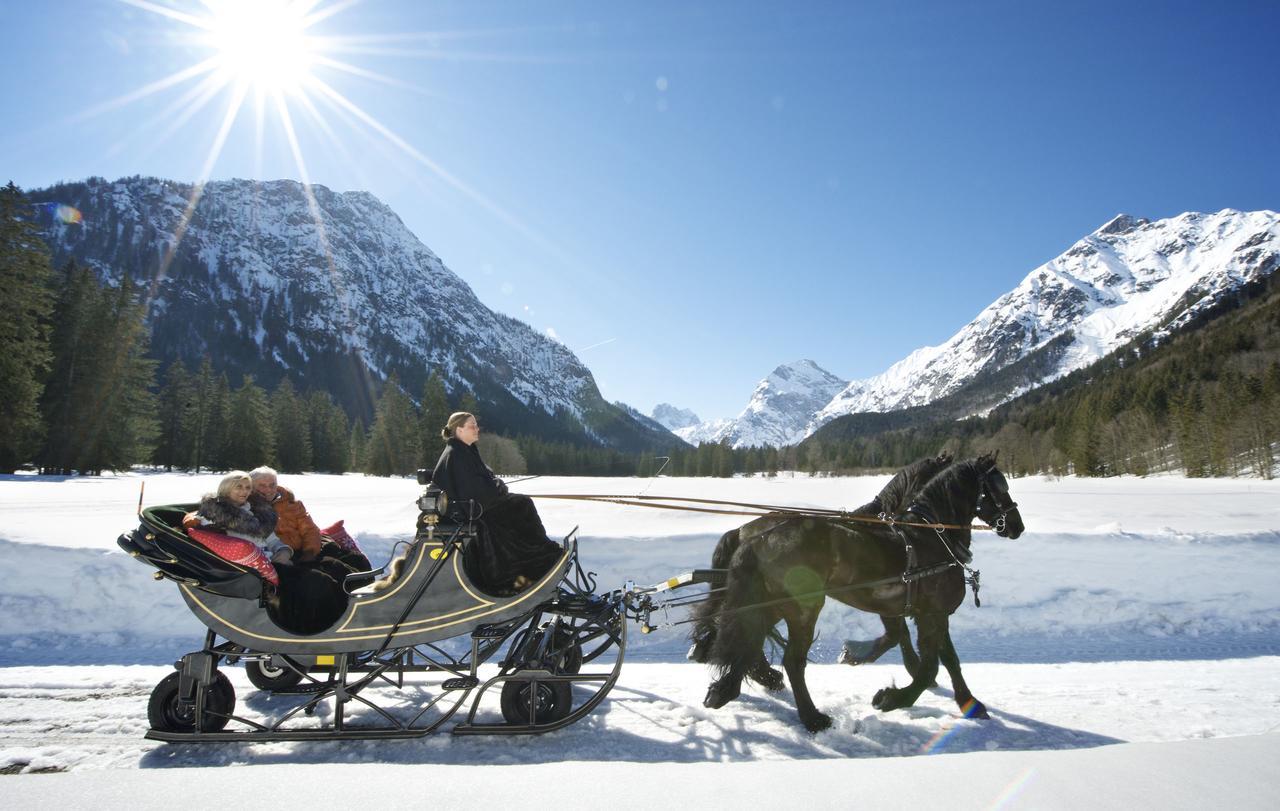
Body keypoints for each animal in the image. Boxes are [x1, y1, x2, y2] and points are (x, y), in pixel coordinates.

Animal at [696, 452, 1024, 731]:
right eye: (999, 488)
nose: (1017, 526)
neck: (932, 537)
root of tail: (755, 538)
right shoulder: (930, 613)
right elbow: (928, 664)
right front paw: (892, 697)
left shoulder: (920, 610)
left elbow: (947, 659)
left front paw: (971, 703)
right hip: (803, 609)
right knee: (791, 660)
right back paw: (812, 717)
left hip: (773, 603)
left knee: (749, 640)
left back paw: (727, 687)